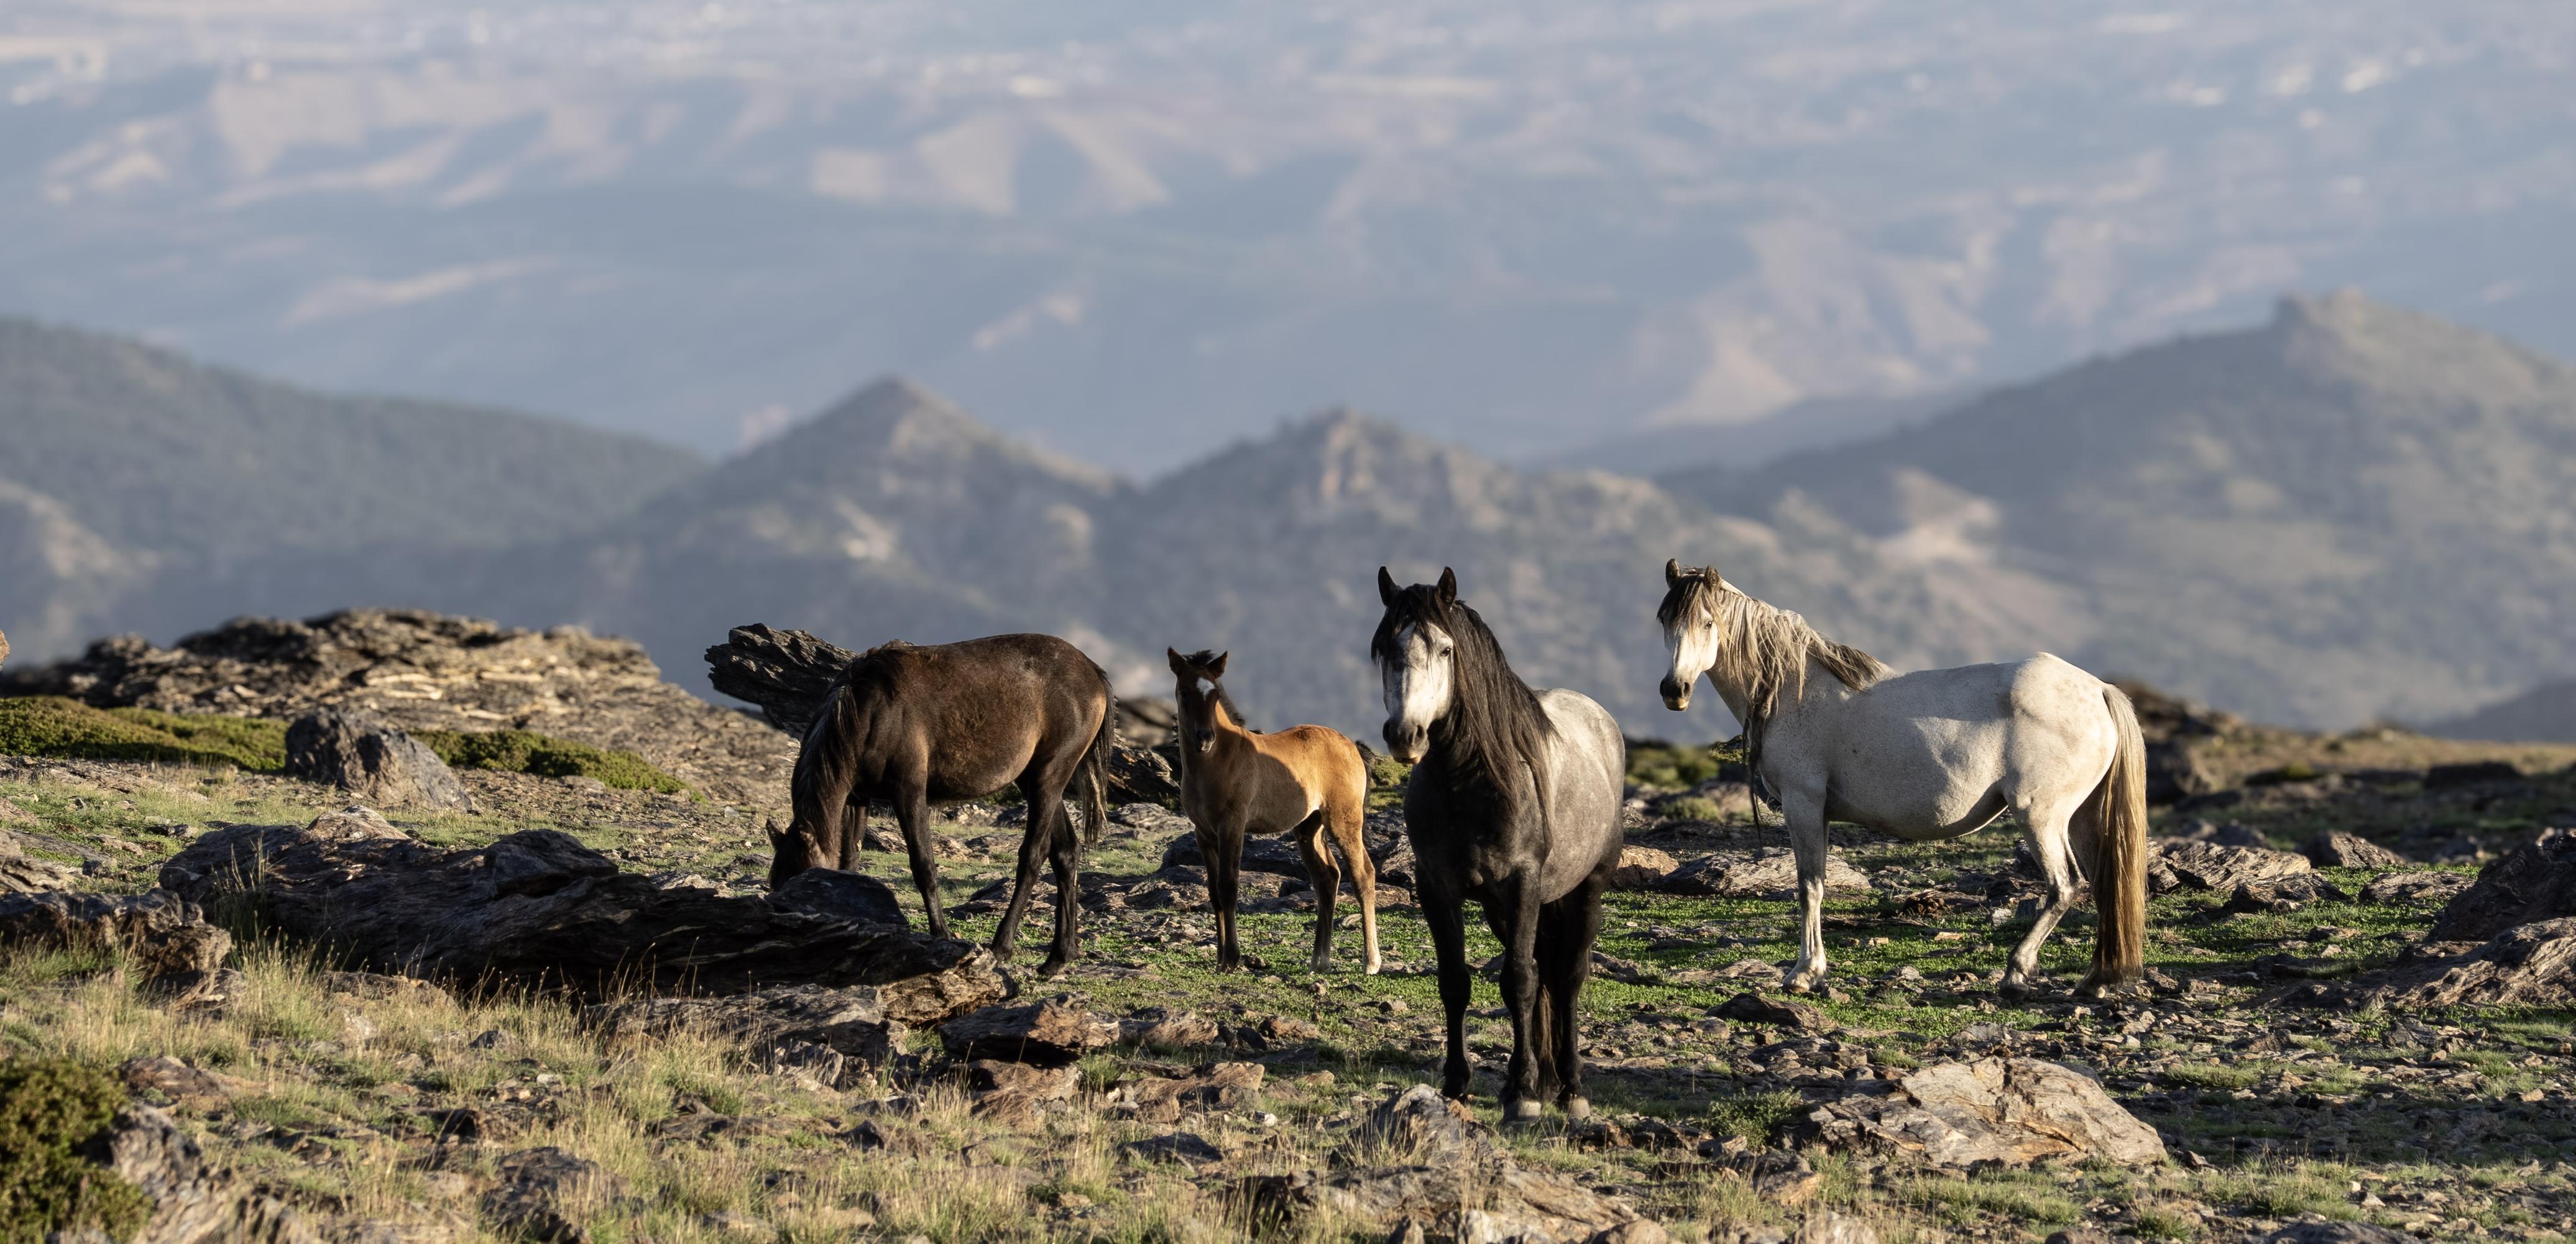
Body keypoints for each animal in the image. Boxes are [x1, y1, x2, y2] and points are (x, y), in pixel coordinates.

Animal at [769, 633, 1115, 978]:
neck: (870, 710)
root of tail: (1093, 671)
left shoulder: (909, 792)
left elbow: (924, 866)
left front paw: (942, 935)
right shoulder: (857, 798)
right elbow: (850, 862)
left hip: (1049, 776)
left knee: (1034, 854)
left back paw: (1002, 946)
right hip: (1033, 779)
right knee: (1066, 852)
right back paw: (1059, 956)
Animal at [1167, 648, 1380, 975]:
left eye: (1215, 695)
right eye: (1184, 692)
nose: (1205, 738)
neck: (1217, 761)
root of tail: (1352, 747)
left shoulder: (1233, 826)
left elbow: (1228, 886)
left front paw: (1232, 958)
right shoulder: (1203, 833)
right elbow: (1214, 893)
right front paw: (1219, 959)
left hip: (1344, 822)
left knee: (1363, 874)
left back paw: (1371, 962)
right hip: (1309, 828)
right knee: (1327, 878)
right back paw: (1320, 960)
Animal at [1373, 567, 1627, 1121]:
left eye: (1446, 649)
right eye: (1384, 648)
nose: (1406, 734)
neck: (1471, 784)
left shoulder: (1522, 882)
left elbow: (1518, 981)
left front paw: (1522, 1095)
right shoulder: (1437, 887)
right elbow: (1455, 982)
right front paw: (1457, 1082)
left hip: (1584, 890)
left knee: (1567, 977)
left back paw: (1570, 1088)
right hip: (1504, 908)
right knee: (1543, 971)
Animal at [1654, 558, 2148, 998]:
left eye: (1708, 622)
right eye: (1665, 619)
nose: (1674, 691)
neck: (1791, 689)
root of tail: (2098, 690)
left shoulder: (1804, 805)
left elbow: (1810, 887)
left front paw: (1805, 973)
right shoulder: (1819, 813)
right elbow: (1816, 884)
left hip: (2040, 817)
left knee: (2064, 887)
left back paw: (2016, 974)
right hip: (2080, 818)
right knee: (2100, 884)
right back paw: (2095, 980)